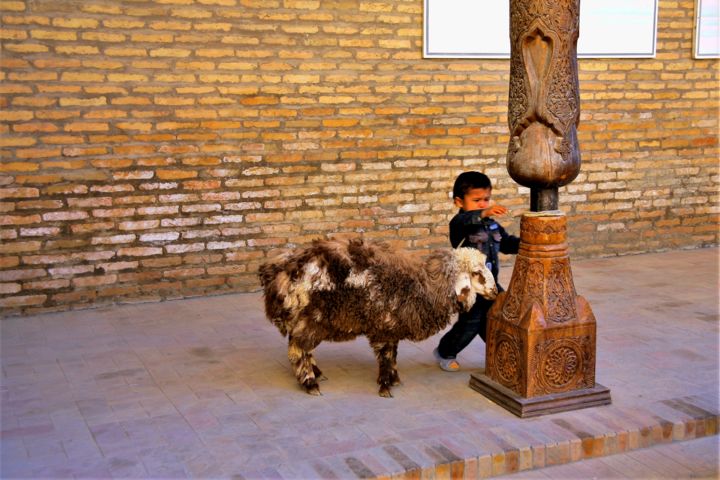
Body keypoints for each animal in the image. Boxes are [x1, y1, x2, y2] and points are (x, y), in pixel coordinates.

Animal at [258, 237, 500, 398]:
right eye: (476, 273)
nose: (496, 292)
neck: (422, 288)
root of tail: (280, 271)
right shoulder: (383, 328)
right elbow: (386, 356)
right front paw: (385, 386)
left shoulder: (392, 329)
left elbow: (393, 355)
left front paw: (394, 379)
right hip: (308, 319)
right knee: (298, 350)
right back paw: (310, 383)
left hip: (304, 321)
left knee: (302, 348)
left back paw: (317, 374)